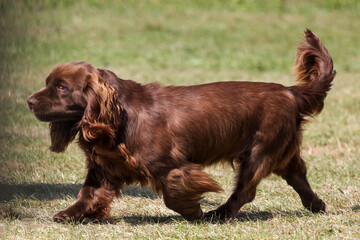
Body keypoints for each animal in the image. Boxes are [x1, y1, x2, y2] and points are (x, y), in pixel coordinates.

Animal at [27, 29, 334, 221]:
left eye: (62, 87)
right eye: (48, 83)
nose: (29, 101)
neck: (119, 118)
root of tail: (290, 91)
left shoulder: (171, 165)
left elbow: (173, 192)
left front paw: (194, 212)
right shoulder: (104, 168)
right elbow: (88, 192)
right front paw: (71, 214)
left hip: (260, 151)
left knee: (245, 190)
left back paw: (219, 214)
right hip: (281, 151)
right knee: (298, 175)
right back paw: (316, 205)